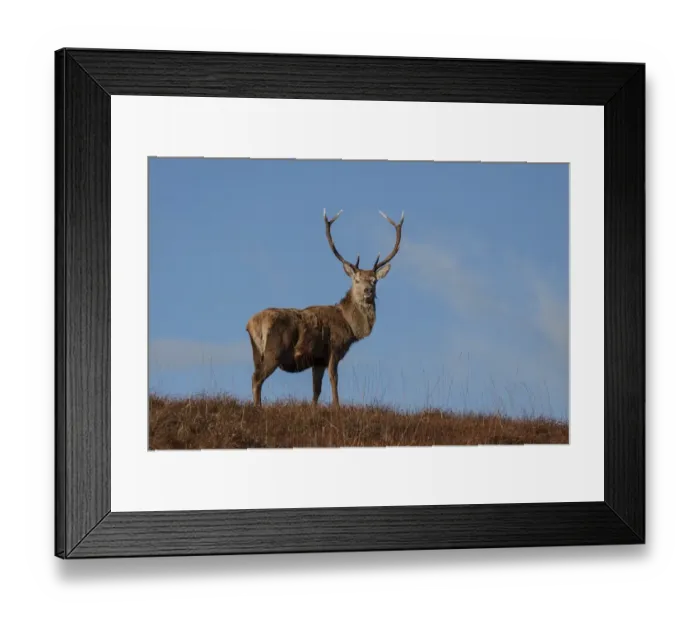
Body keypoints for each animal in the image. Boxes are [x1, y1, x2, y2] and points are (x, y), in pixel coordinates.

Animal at [245, 209, 404, 407]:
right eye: (356, 280)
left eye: (374, 281)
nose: (368, 291)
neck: (349, 326)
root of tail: (252, 324)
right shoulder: (333, 349)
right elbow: (333, 380)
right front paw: (337, 406)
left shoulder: (318, 360)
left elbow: (316, 390)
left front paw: (314, 408)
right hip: (275, 349)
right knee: (256, 378)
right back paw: (258, 407)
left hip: (256, 352)